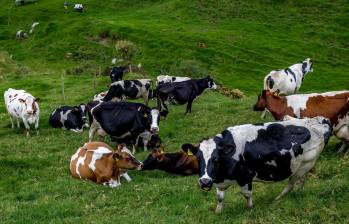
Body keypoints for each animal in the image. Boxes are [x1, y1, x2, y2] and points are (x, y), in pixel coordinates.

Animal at [182, 117, 332, 214]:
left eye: (216, 158)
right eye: (197, 158)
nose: (205, 181)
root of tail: (320, 120)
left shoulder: (245, 177)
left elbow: (246, 194)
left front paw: (250, 208)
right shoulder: (219, 180)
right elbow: (220, 197)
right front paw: (218, 212)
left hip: (304, 165)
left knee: (290, 184)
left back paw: (276, 199)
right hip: (303, 166)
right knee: (301, 181)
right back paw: (299, 193)